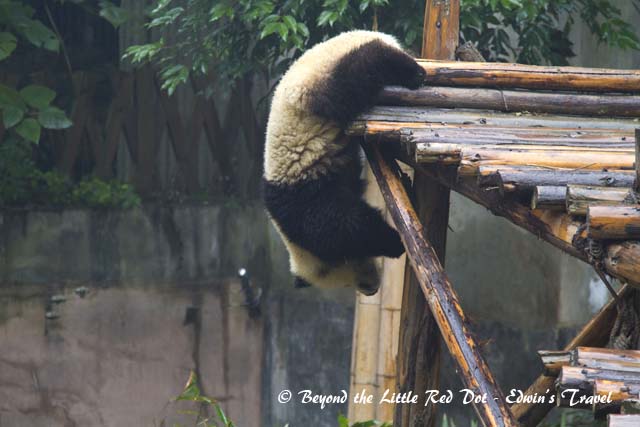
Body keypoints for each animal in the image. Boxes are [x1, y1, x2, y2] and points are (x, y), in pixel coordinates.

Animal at [262, 30, 426, 295]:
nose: (370, 290)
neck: (294, 242)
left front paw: (394, 243)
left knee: (359, 73)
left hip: (319, 85)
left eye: (347, 281)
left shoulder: (307, 198)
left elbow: (348, 225)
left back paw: (413, 72)